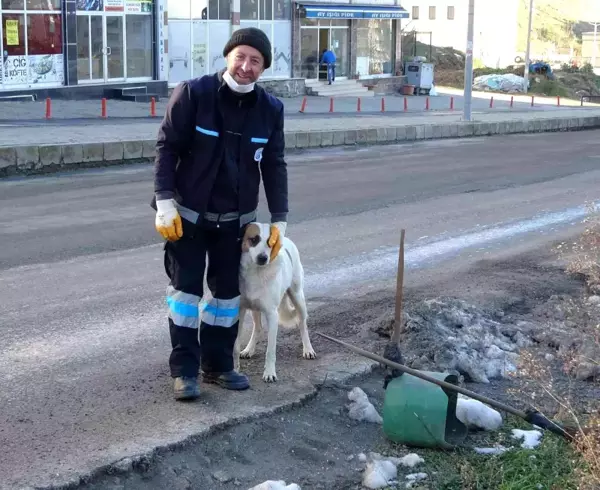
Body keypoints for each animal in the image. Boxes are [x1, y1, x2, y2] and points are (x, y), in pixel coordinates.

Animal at [236, 223, 318, 382]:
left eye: (270, 242)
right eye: (254, 239)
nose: (263, 258)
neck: (256, 272)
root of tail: (285, 239)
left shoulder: (272, 316)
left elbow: (270, 351)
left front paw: (269, 373)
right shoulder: (240, 311)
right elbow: (235, 346)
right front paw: (235, 369)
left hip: (298, 298)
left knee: (302, 323)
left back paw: (308, 349)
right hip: (254, 308)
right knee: (258, 327)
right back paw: (249, 349)